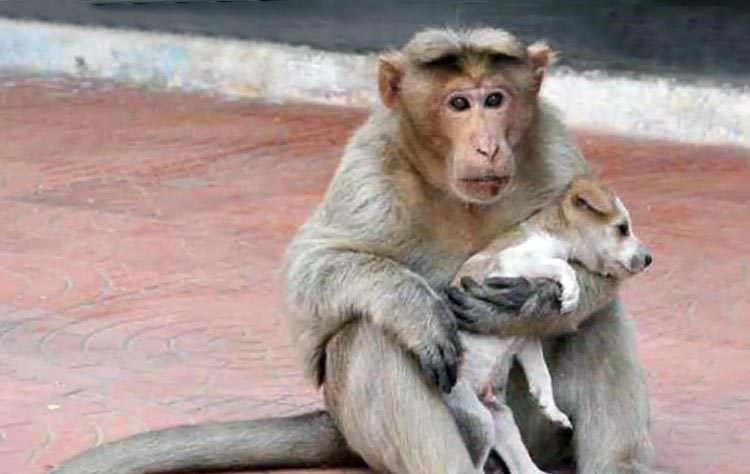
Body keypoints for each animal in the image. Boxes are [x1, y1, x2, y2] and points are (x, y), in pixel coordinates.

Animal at [51, 27, 654, 474]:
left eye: (496, 99)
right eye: (459, 103)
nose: (487, 145)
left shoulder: (556, 146)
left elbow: (590, 287)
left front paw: (532, 302)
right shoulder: (370, 166)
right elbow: (313, 273)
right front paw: (418, 307)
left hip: (532, 431)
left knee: (595, 320)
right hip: (418, 419)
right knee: (368, 336)